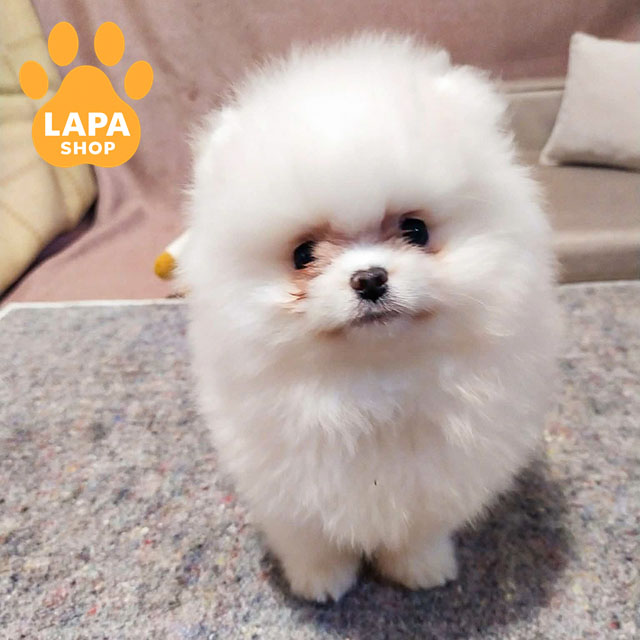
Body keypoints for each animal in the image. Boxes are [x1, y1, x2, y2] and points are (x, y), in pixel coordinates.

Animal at [183, 33, 559, 602]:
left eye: (415, 230)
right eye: (303, 254)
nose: (369, 279)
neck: (374, 383)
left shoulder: (436, 481)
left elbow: (419, 532)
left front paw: (421, 569)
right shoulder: (284, 485)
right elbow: (308, 539)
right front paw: (320, 581)